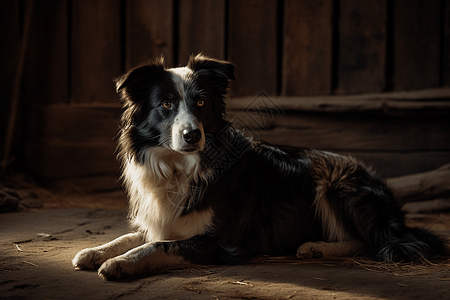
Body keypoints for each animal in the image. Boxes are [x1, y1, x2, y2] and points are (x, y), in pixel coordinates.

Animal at [73, 53, 446, 278]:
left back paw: (316, 246)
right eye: (165, 104)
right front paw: (94, 251)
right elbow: (131, 235)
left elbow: (158, 245)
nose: (193, 134)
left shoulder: (217, 242)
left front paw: (119, 264)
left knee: (370, 242)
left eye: (201, 103)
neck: (181, 167)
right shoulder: (164, 219)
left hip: (334, 183)